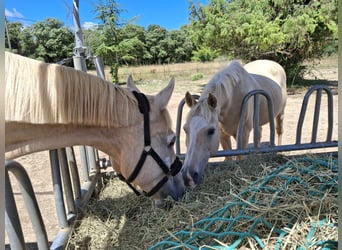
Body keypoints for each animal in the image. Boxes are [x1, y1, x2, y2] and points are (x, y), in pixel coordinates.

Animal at [180, 59, 288, 188]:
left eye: (211, 131)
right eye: (185, 129)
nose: (188, 177)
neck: (232, 98)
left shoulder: (243, 133)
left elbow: (240, 157)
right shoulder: (223, 135)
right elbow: (229, 157)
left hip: (280, 113)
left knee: (279, 131)